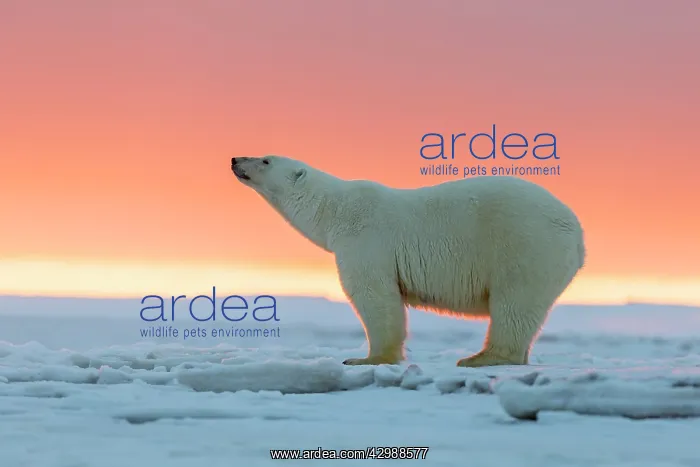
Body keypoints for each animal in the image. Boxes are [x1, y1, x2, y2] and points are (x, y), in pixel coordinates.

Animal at [230, 155, 586, 367]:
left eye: (266, 159)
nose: (235, 158)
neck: (335, 210)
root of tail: (577, 232)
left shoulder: (365, 238)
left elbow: (374, 294)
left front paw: (368, 359)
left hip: (526, 245)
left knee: (514, 302)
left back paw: (481, 358)